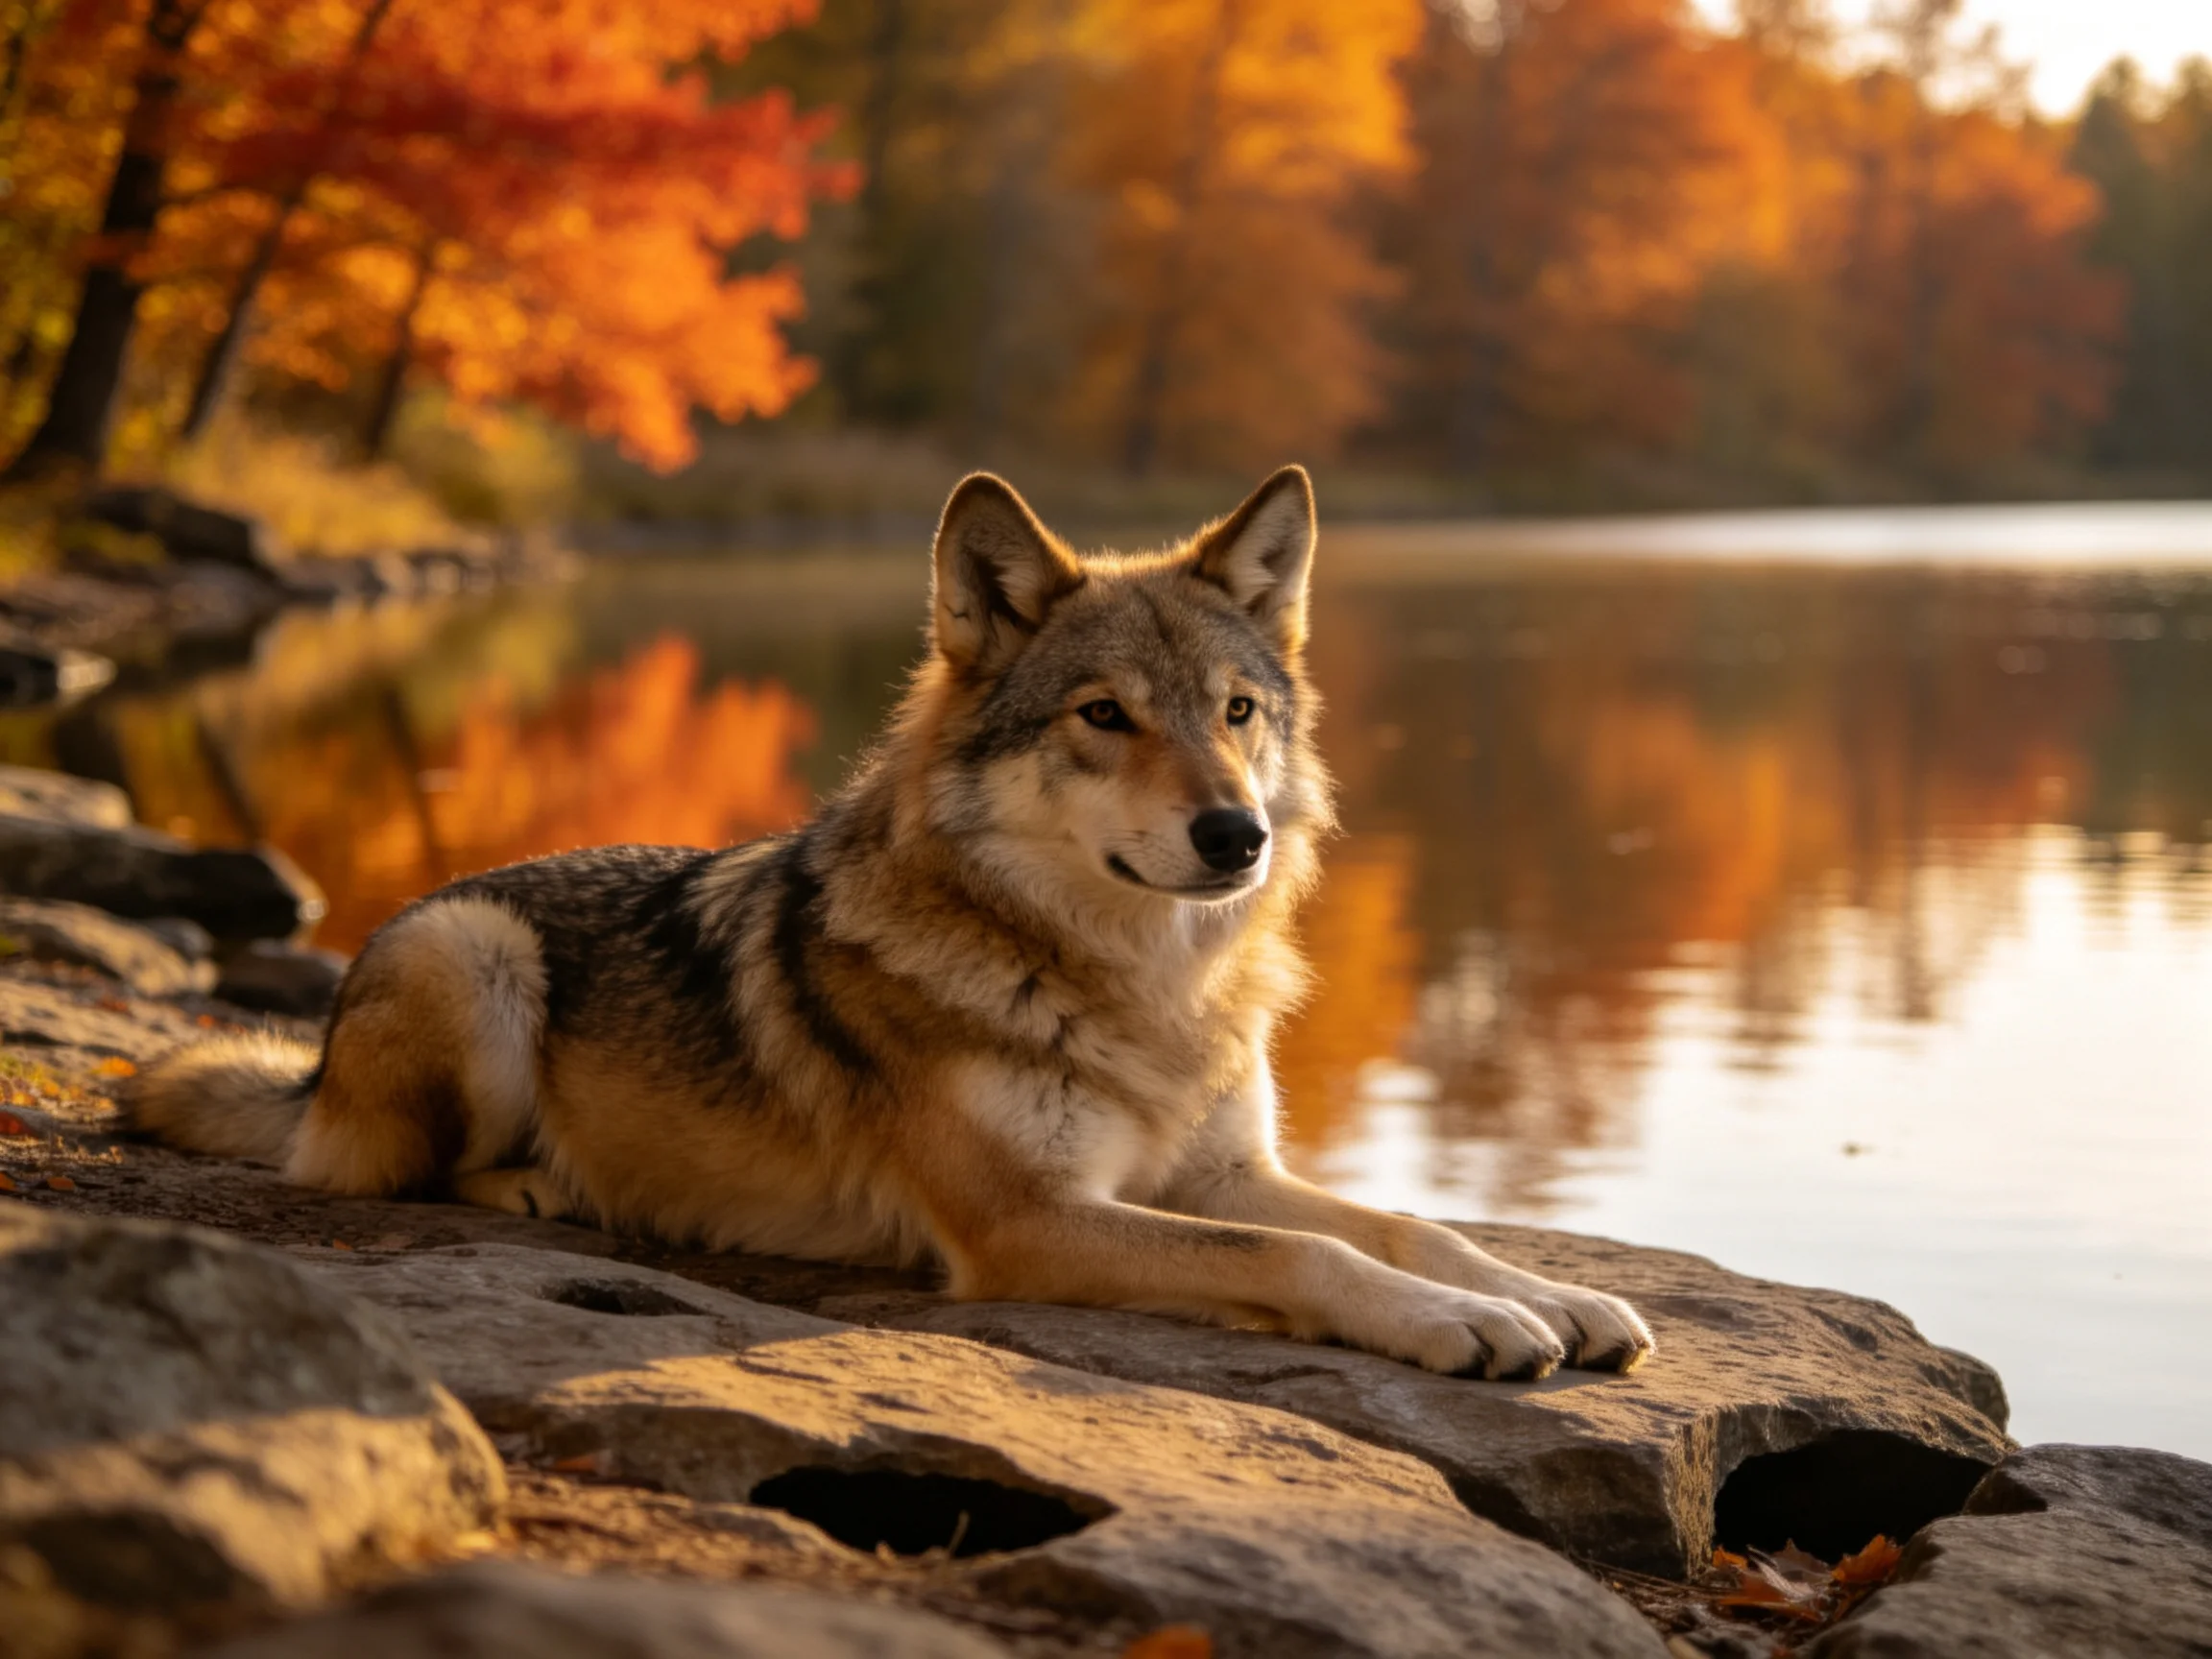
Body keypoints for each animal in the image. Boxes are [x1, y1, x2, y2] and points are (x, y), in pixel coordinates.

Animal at [128, 466, 1652, 1380]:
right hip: (475, 959)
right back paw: (538, 1184)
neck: (1137, 988)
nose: (1238, 836)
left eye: (1236, 713)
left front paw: (1537, 1294)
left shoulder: (1220, 1172)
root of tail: (317, 1062)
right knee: (388, 1174)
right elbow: (1306, 1254)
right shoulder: (1031, 1223)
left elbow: (1401, 1221)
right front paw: (1465, 1326)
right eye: (1105, 715)